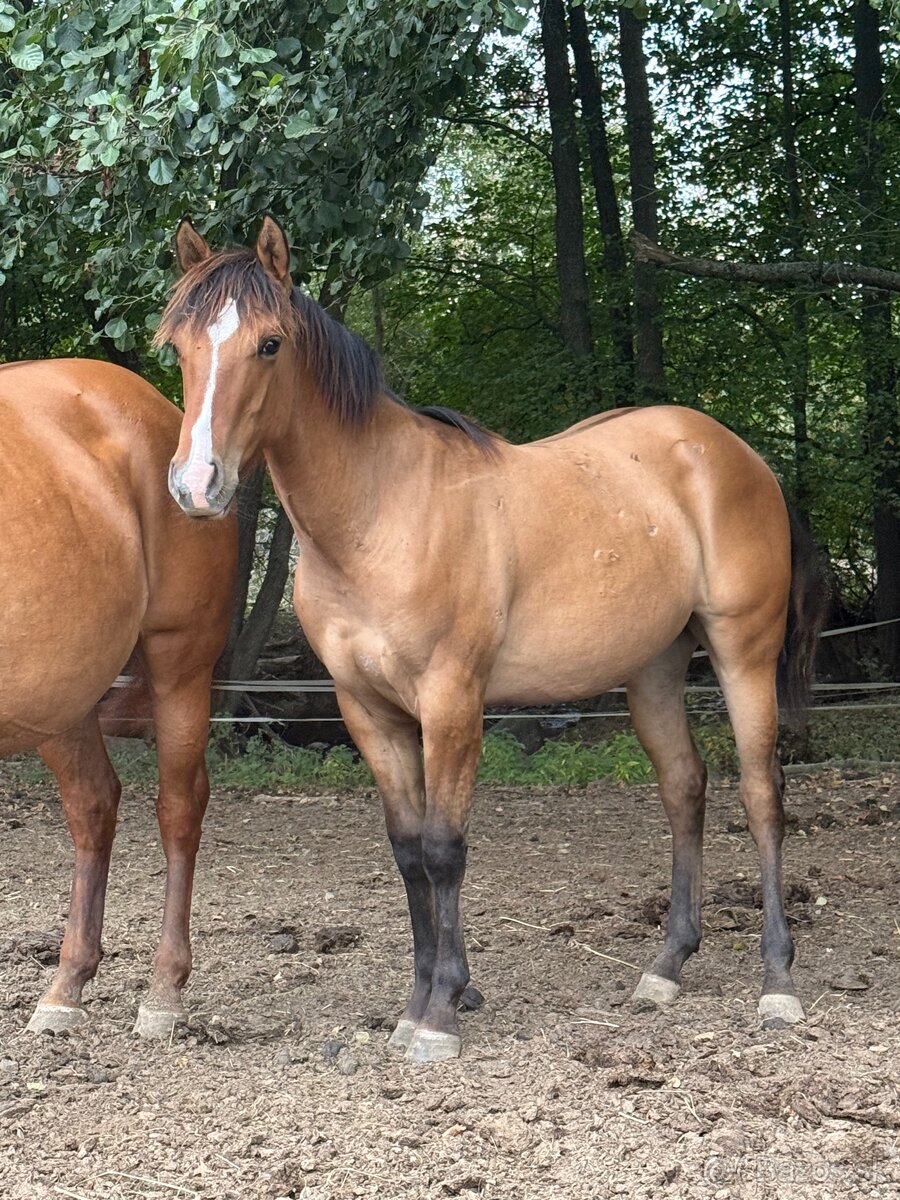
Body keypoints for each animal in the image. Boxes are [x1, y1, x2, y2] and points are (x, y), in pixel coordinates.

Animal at [0, 359, 237, 1038]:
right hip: (65, 698)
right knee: (93, 805)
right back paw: (67, 984)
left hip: (180, 663)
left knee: (179, 808)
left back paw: (164, 990)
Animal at [158, 217, 828, 1063]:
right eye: (177, 347)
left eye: (269, 344)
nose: (196, 485)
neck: (380, 512)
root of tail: (740, 456)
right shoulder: (368, 710)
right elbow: (408, 850)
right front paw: (419, 998)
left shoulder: (451, 701)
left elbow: (446, 849)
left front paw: (440, 1013)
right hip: (653, 670)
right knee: (685, 788)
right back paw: (666, 966)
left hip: (744, 655)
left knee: (762, 794)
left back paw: (778, 981)